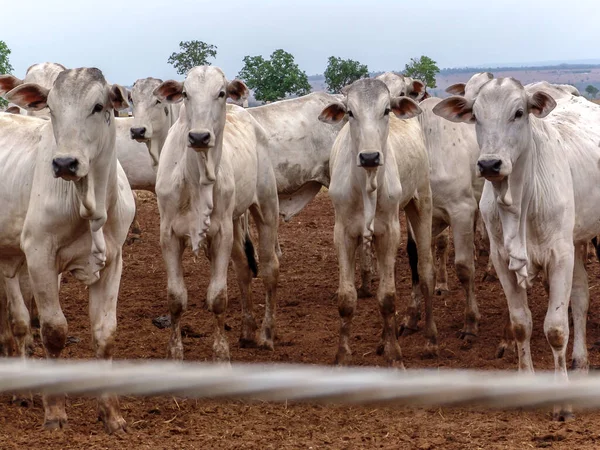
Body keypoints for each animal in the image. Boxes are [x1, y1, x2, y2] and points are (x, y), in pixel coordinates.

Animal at [2, 67, 135, 432]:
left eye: (98, 106)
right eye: (51, 107)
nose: (64, 163)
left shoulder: (114, 261)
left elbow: (105, 334)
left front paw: (112, 415)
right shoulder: (39, 256)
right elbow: (53, 331)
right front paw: (55, 411)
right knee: (19, 322)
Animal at [152, 66, 278, 362]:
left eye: (221, 92)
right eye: (185, 93)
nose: (199, 137)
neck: (194, 178)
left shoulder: (221, 233)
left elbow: (218, 297)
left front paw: (221, 354)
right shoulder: (168, 235)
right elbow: (176, 298)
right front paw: (175, 353)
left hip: (267, 209)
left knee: (269, 269)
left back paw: (266, 333)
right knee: (244, 270)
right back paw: (247, 331)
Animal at [318, 78, 436, 366]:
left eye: (386, 110)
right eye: (350, 112)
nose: (370, 157)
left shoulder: (390, 231)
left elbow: (388, 298)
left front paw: (395, 357)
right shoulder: (343, 233)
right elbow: (347, 298)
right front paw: (342, 357)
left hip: (421, 202)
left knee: (426, 271)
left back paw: (430, 339)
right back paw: (384, 341)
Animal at [434, 75, 600, 420]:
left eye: (519, 112)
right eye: (475, 115)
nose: (489, 164)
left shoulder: (559, 257)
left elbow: (555, 328)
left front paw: (562, 403)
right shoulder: (502, 260)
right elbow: (522, 323)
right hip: (577, 241)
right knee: (580, 299)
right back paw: (579, 361)